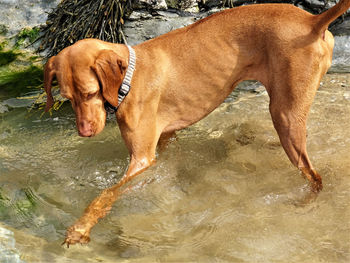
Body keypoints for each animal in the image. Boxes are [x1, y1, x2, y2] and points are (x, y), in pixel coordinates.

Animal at [43, 0, 350, 248]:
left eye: (89, 93)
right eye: (68, 98)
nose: (84, 132)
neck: (130, 76)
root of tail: (311, 21)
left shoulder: (142, 159)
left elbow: (105, 194)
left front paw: (80, 228)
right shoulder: (165, 141)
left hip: (285, 116)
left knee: (315, 177)